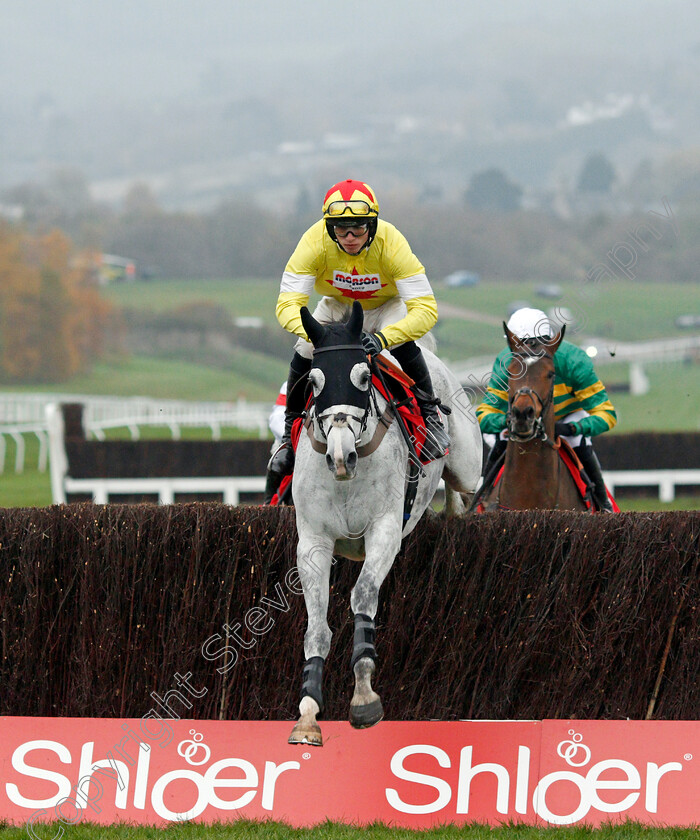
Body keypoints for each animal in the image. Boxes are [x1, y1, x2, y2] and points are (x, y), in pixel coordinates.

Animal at [286, 300, 482, 740]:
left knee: (462, 488)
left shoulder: (385, 530)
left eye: (362, 376)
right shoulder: (313, 543)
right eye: (314, 382)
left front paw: (363, 697)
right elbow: (316, 629)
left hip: (467, 464)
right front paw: (308, 712)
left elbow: (362, 596)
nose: (341, 457)